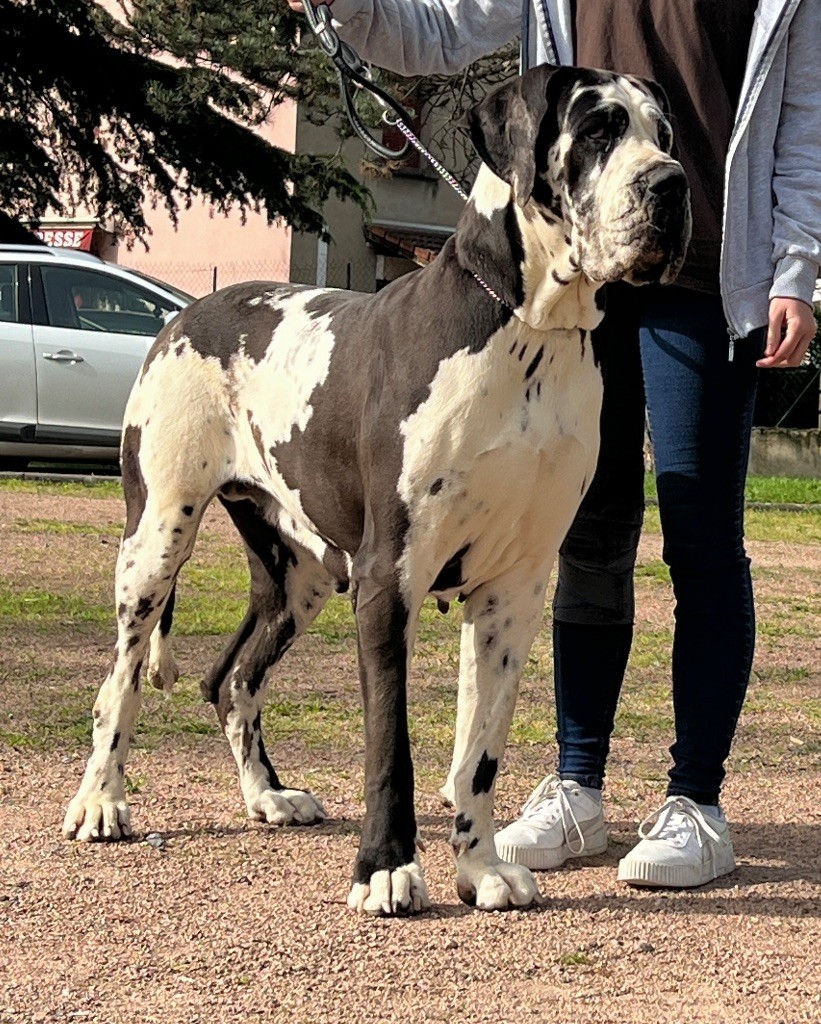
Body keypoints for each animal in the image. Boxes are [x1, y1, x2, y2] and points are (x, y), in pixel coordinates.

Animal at [62, 66, 683, 913]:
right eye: (596, 129)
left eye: (665, 134)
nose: (671, 184)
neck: (525, 329)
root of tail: (185, 312)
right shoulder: (391, 579)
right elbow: (392, 742)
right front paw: (386, 868)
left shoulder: (513, 591)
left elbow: (478, 754)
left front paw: (479, 867)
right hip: (156, 541)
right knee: (118, 683)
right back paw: (101, 800)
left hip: (301, 573)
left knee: (233, 681)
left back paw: (267, 795)